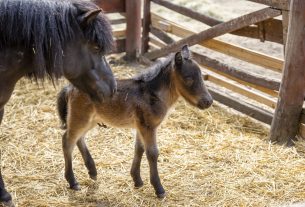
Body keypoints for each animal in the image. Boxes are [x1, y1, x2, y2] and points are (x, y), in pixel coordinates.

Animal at [58, 45, 213, 199]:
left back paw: (93, 172)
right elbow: (152, 153)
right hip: (80, 117)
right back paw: (73, 181)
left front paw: (137, 180)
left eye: (201, 77)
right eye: (188, 78)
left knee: (79, 139)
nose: (208, 102)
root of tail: (70, 87)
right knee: (67, 140)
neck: (153, 94)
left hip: (90, 120)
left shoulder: (141, 126)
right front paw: (159, 189)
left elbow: (139, 148)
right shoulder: (148, 127)